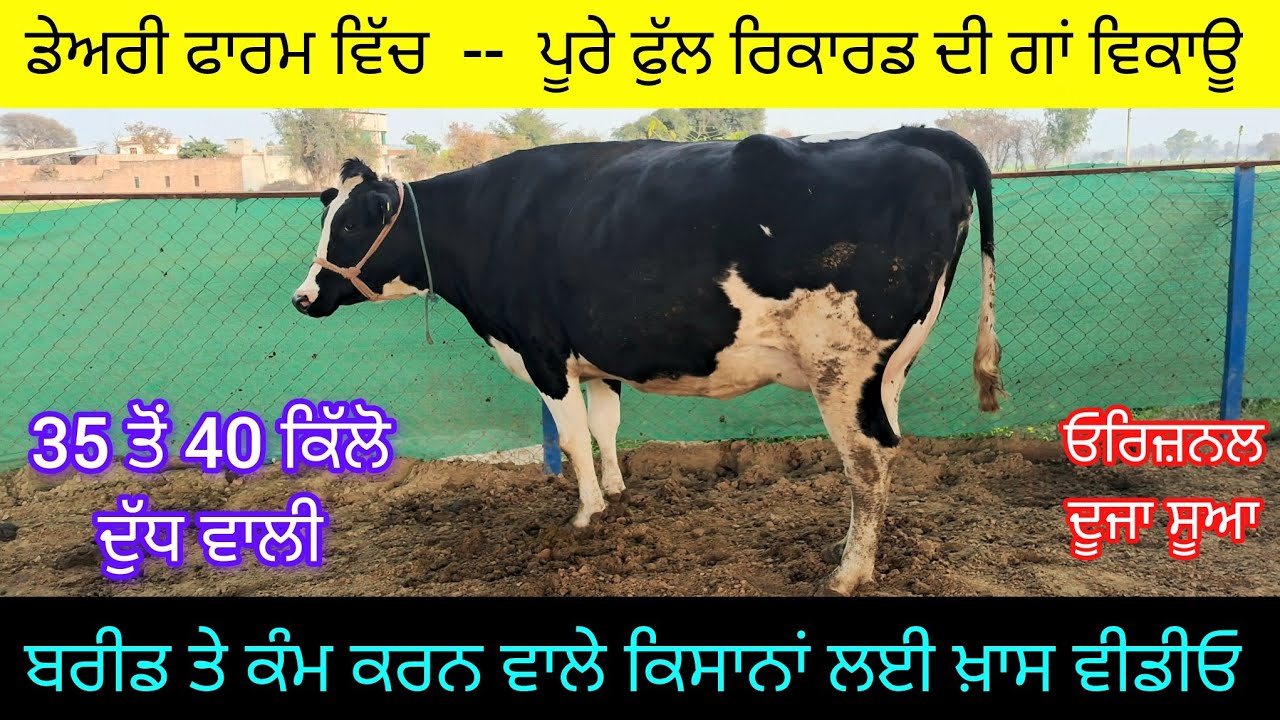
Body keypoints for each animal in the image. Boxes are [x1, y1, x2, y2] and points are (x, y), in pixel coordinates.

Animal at [289, 125, 1005, 596]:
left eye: (348, 227)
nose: (302, 298)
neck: (487, 225)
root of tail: (916, 136)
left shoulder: (543, 355)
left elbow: (573, 437)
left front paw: (585, 516)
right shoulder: (598, 358)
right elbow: (605, 428)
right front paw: (615, 495)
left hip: (842, 362)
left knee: (868, 458)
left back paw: (849, 573)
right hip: (887, 368)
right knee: (883, 455)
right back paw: (855, 548)